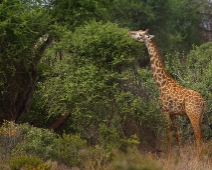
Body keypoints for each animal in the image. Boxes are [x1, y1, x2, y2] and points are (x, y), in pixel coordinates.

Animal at [128, 29, 206, 158]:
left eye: (140, 34)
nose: (129, 33)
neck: (162, 84)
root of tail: (203, 102)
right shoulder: (173, 113)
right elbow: (177, 134)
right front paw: (181, 155)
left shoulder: (164, 111)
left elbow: (168, 135)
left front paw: (169, 157)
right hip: (200, 115)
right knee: (202, 133)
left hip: (192, 114)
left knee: (198, 133)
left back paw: (197, 158)